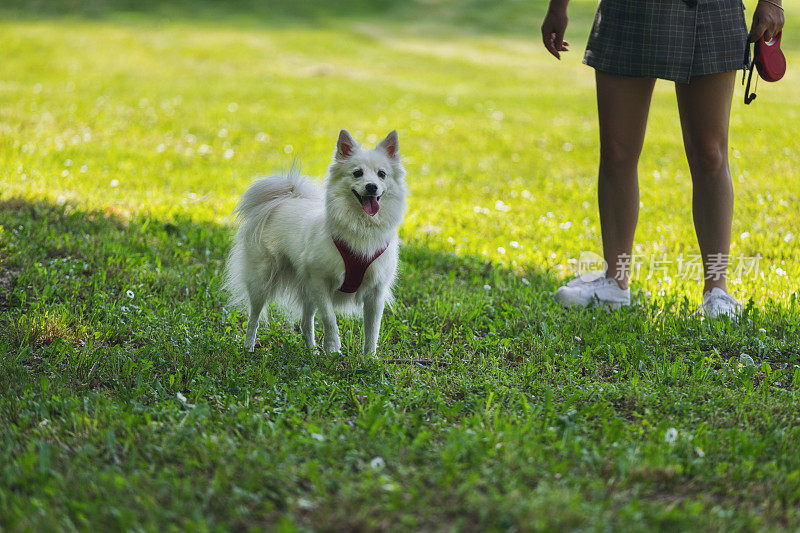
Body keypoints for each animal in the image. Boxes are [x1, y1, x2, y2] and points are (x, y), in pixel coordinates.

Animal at [223, 130, 406, 354]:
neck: (361, 227)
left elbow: (372, 330)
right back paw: (249, 347)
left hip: (305, 288)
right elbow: (329, 318)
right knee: (254, 318)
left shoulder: (375, 292)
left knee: (305, 323)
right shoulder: (320, 282)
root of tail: (283, 199)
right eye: (357, 173)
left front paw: (369, 357)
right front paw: (333, 349)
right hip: (262, 281)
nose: (371, 187)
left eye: (382, 174)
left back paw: (311, 351)